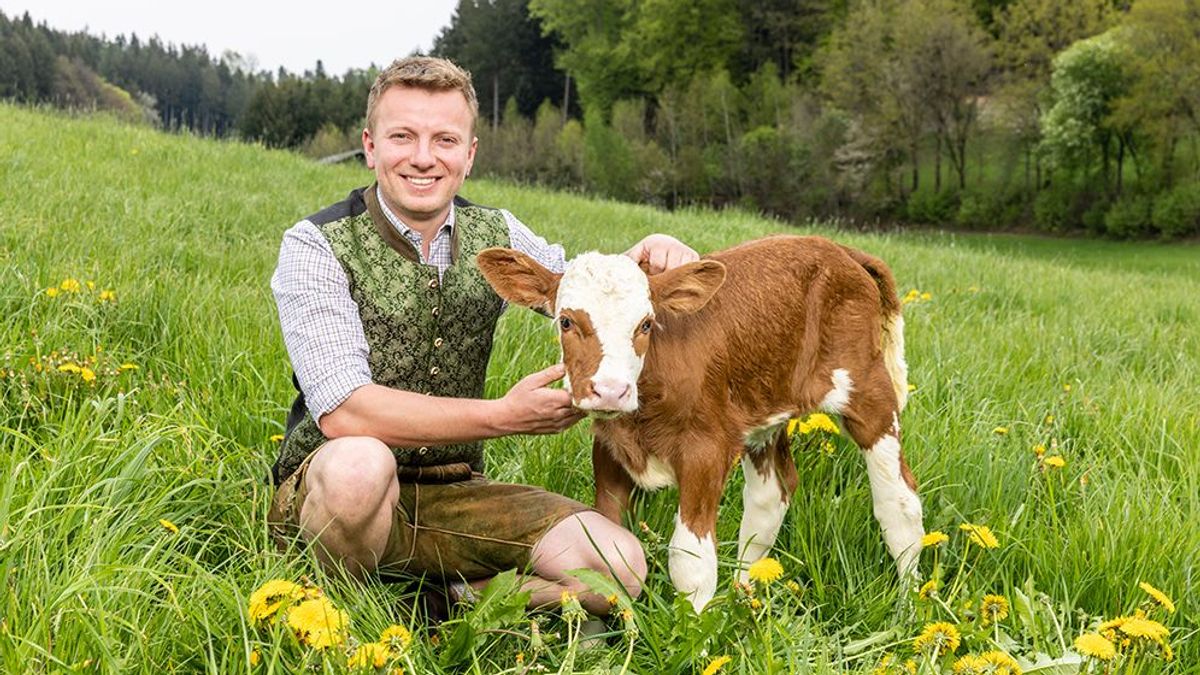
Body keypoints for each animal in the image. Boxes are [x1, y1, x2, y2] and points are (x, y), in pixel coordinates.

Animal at [477, 234, 926, 607]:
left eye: (645, 324)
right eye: (566, 321)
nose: (609, 390)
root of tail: (842, 250)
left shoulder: (705, 451)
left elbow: (691, 561)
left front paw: (693, 634)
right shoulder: (609, 449)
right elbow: (610, 549)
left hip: (868, 392)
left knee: (899, 502)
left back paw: (907, 605)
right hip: (762, 408)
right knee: (770, 497)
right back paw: (744, 596)